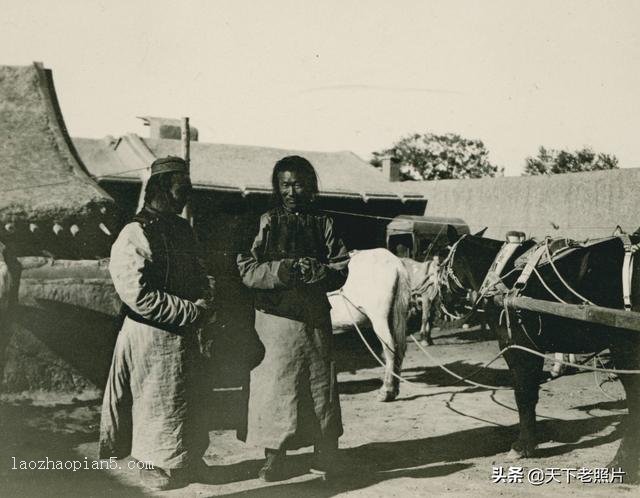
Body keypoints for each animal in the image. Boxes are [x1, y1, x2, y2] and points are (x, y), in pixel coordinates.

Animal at [444, 227, 640, 482]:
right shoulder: (532, 348)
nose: (444, 301)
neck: (501, 271)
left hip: (624, 348)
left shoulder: (518, 347)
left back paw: (622, 462)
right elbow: (531, 394)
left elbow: (524, 395)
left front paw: (523, 446)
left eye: (442, 258)